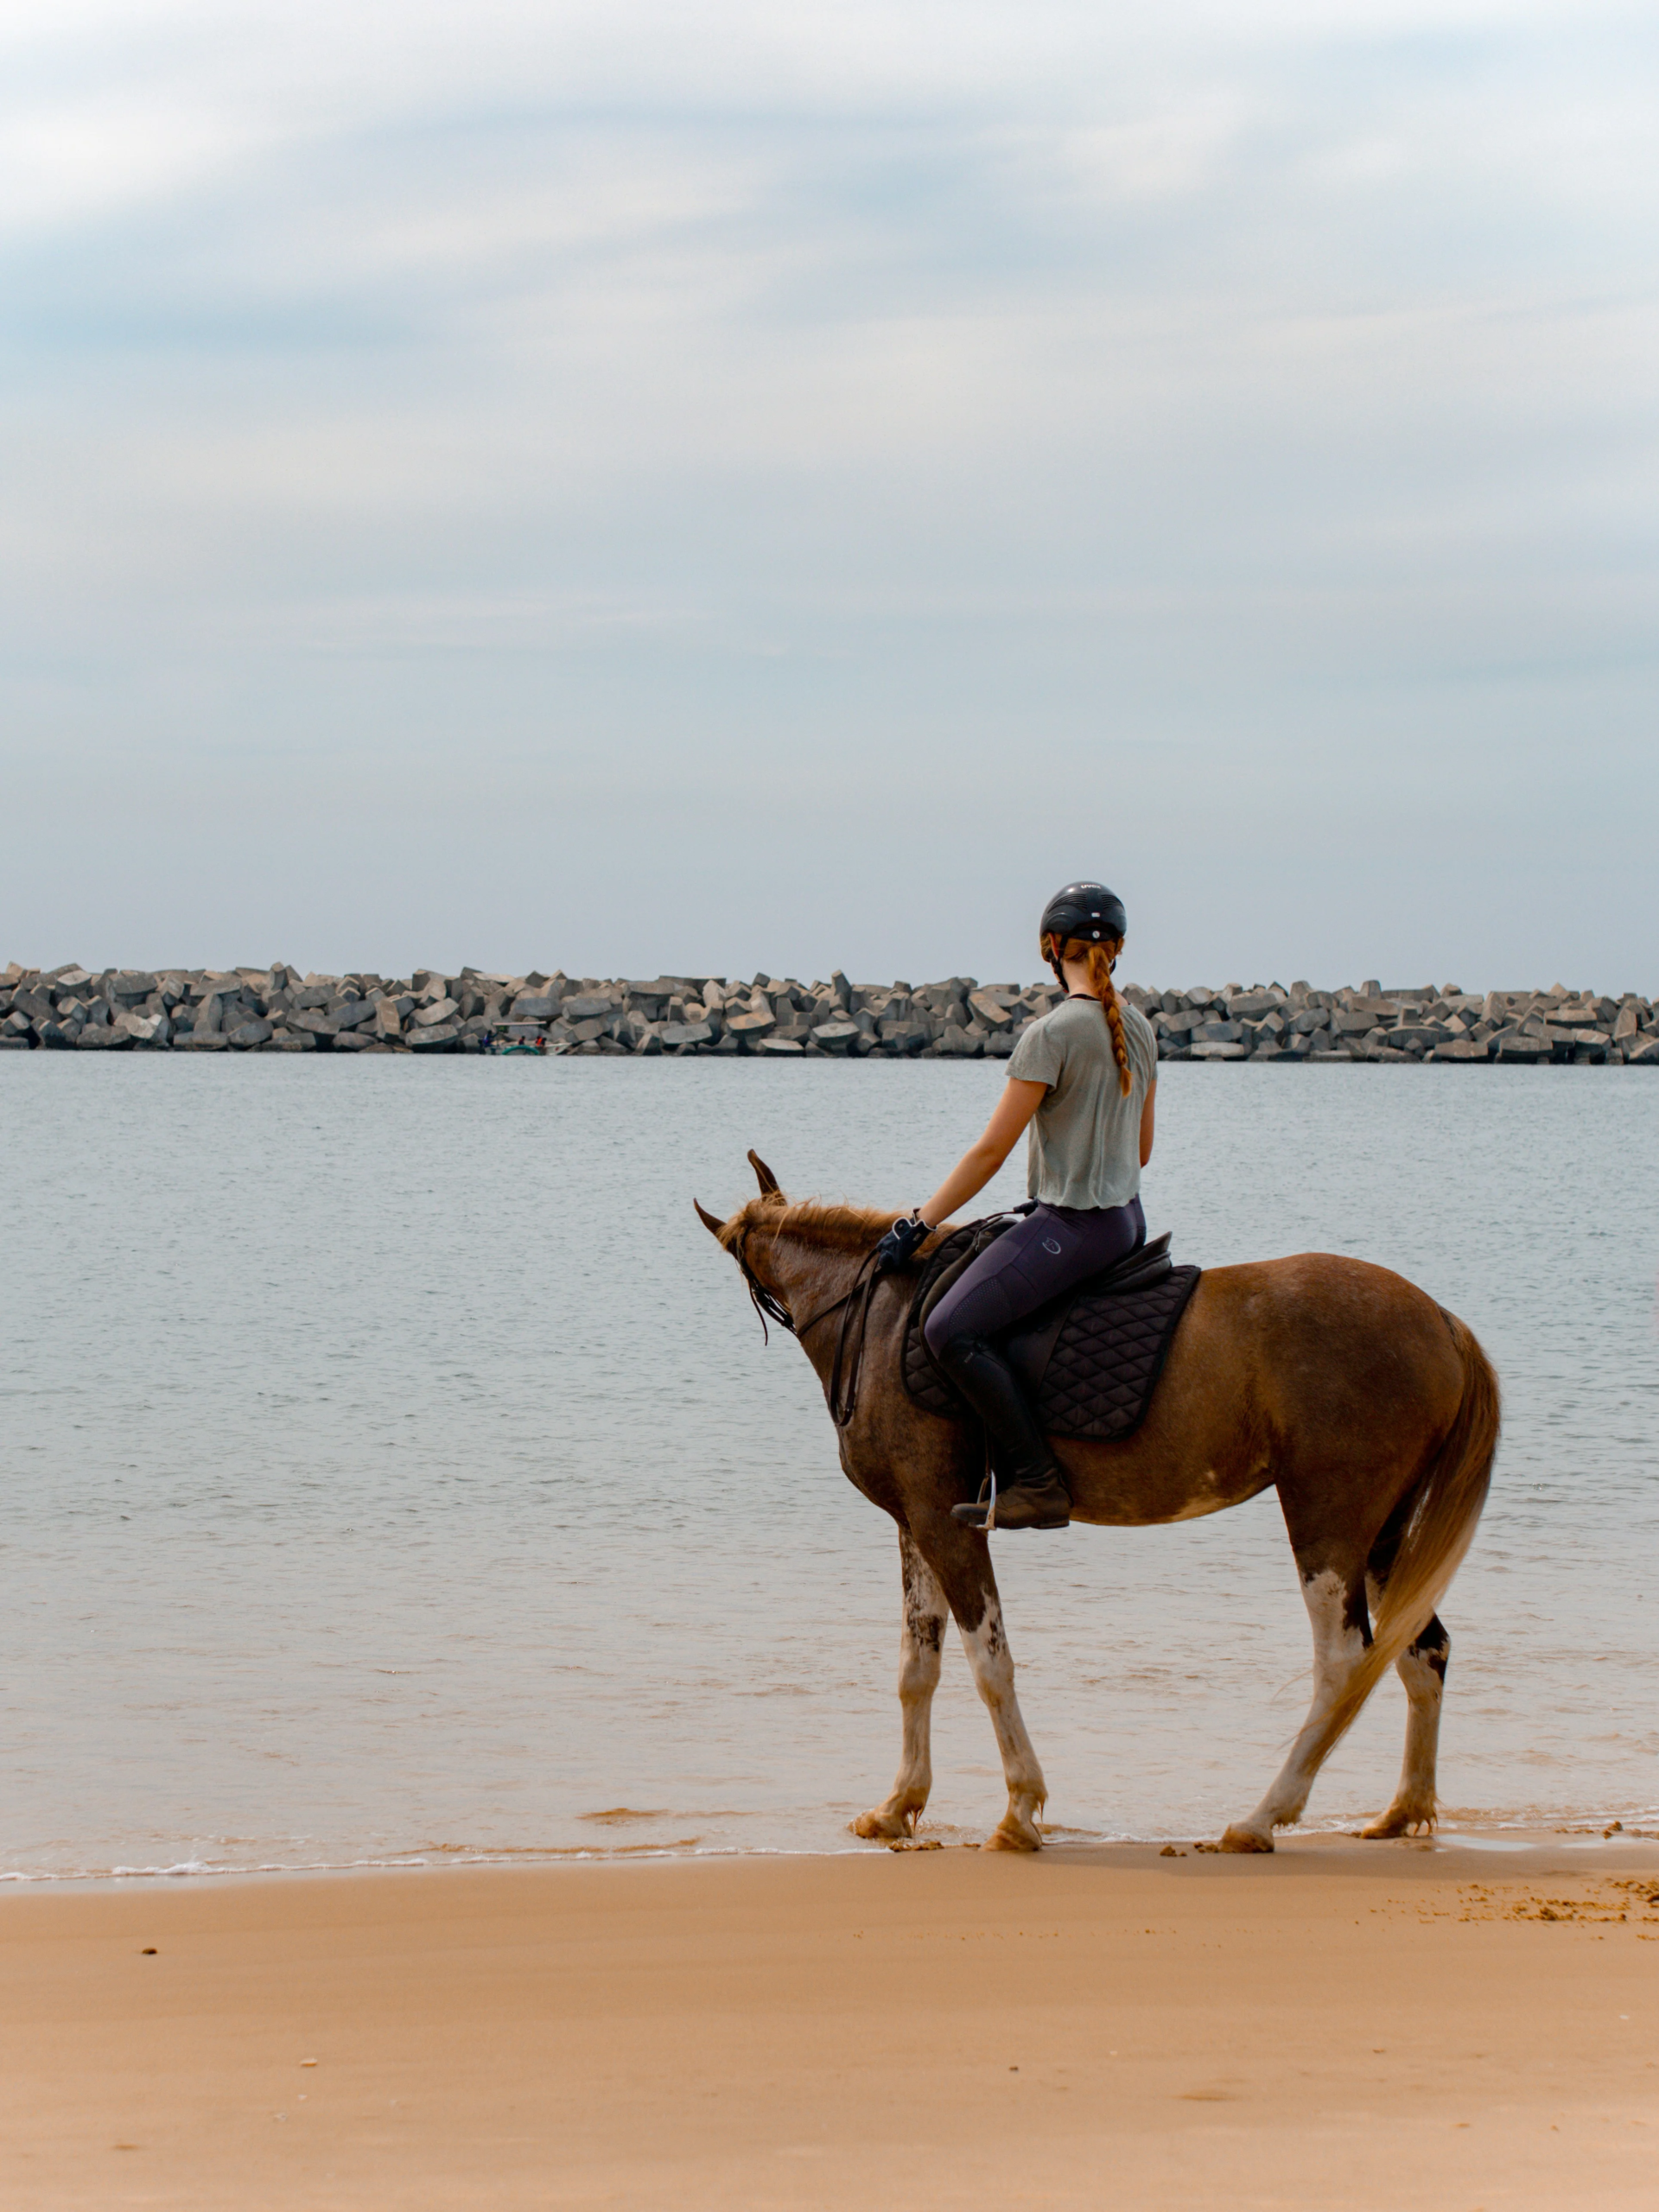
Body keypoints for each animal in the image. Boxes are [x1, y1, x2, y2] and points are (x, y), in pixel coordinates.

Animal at [696, 1152, 1499, 1853]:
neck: (882, 1317)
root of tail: (1441, 1321)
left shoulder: (943, 1521)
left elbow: (989, 1664)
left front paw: (1020, 1811)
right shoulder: (914, 1523)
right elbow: (916, 1669)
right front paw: (897, 1807)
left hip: (1330, 1523)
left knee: (1342, 1663)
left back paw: (1259, 1819)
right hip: (1384, 1534)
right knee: (1421, 1651)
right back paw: (1402, 1812)